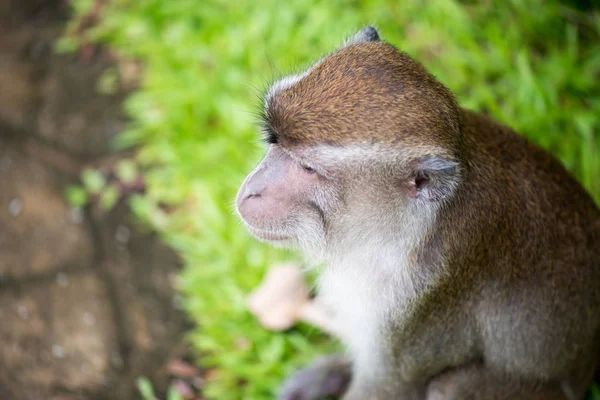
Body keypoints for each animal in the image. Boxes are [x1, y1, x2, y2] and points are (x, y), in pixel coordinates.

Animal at [234, 26, 600, 398]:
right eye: (274, 140)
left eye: (308, 169)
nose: (251, 191)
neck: (400, 230)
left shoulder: (419, 301)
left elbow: (388, 385)